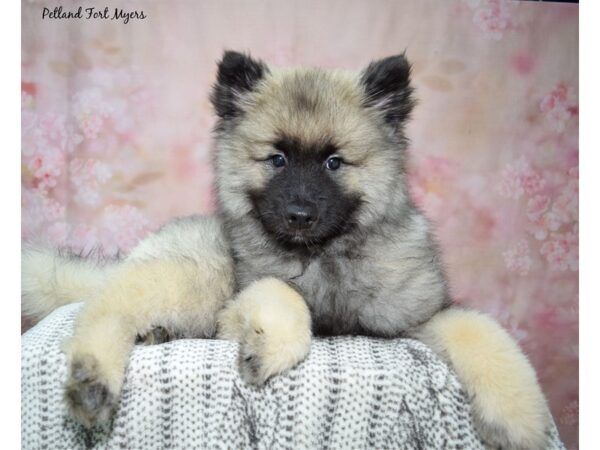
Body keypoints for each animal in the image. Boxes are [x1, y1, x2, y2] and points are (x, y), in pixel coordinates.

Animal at [22, 51, 548, 448]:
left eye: (334, 162)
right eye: (277, 159)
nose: (298, 214)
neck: (323, 255)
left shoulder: (421, 319)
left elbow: (484, 334)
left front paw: (520, 420)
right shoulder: (239, 300)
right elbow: (283, 294)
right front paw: (270, 346)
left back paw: (152, 335)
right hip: (196, 275)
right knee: (103, 310)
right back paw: (94, 379)